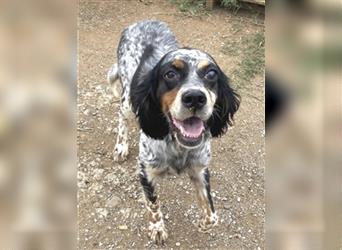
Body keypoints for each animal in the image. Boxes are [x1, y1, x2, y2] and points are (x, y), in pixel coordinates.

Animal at [107, 20, 240, 244]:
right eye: (170, 74)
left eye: (211, 74)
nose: (195, 97)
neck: (177, 146)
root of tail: (142, 21)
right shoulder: (145, 172)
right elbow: (153, 204)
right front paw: (157, 228)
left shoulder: (200, 170)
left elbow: (212, 217)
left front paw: (201, 224)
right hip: (127, 101)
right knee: (121, 116)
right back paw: (121, 146)